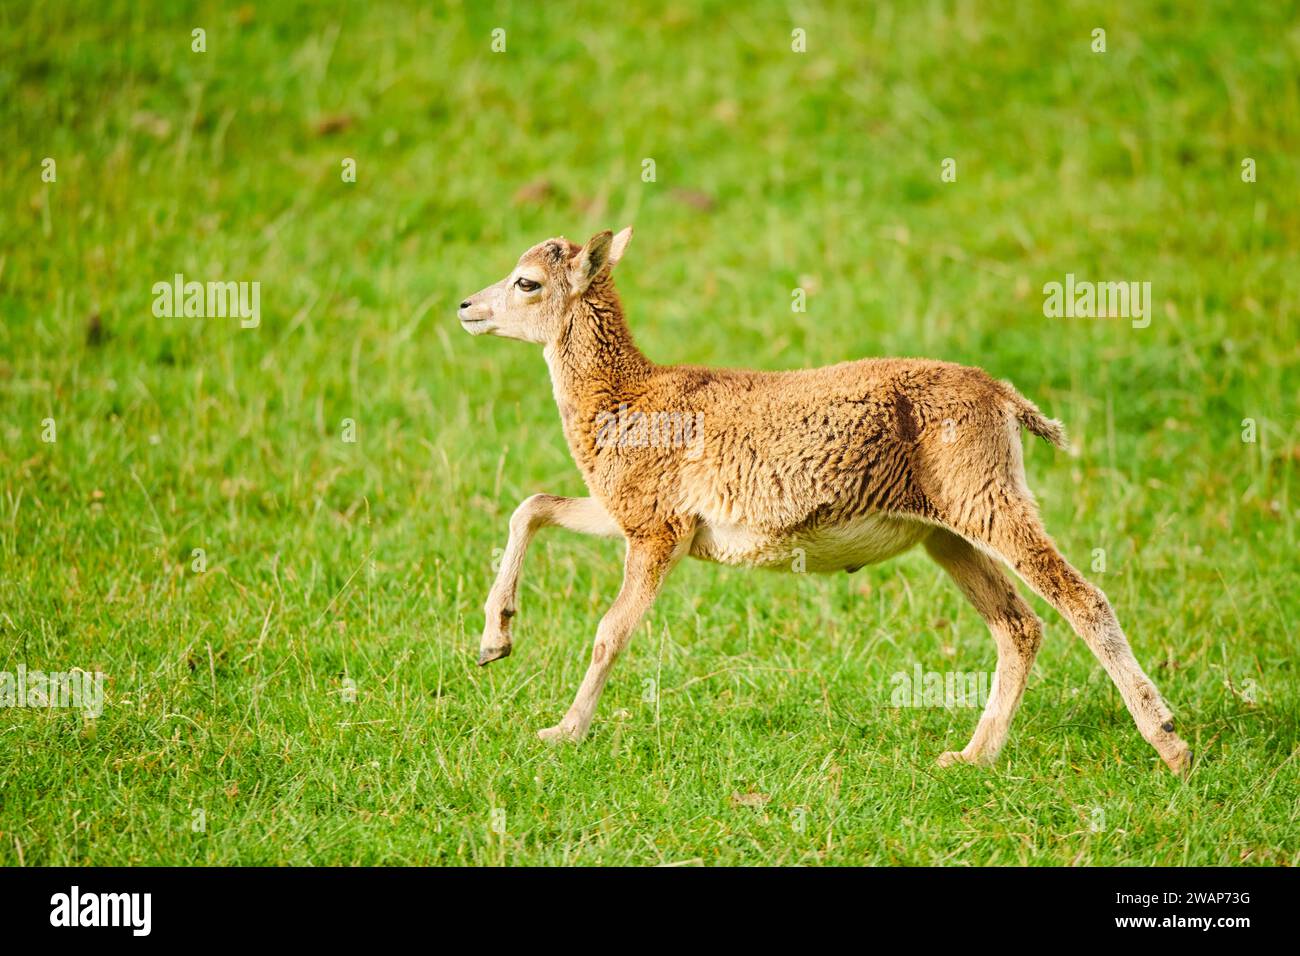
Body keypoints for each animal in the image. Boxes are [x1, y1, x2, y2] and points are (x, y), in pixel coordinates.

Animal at [457, 228, 1192, 774]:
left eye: (528, 282)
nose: (465, 307)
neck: (627, 398)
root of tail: (1001, 394)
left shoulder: (657, 533)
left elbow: (611, 630)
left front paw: (561, 732)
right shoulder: (627, 516)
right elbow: (532, 505)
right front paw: (496, 642)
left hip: (990, 507)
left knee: (1082, 599)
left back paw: (1172, 744)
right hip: (949, 534)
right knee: (1019, 626)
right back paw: (970, 757)